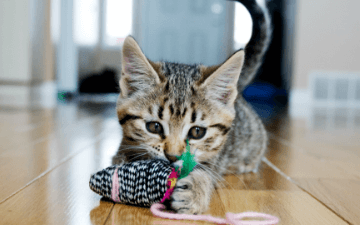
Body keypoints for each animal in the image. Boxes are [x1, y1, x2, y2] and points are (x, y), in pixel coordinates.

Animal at [112, 0, 270, 214]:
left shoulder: (214, 158)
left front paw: (195, 191)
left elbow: (206, 170)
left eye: (197, 132)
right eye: (154, 127)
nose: (172, 156)